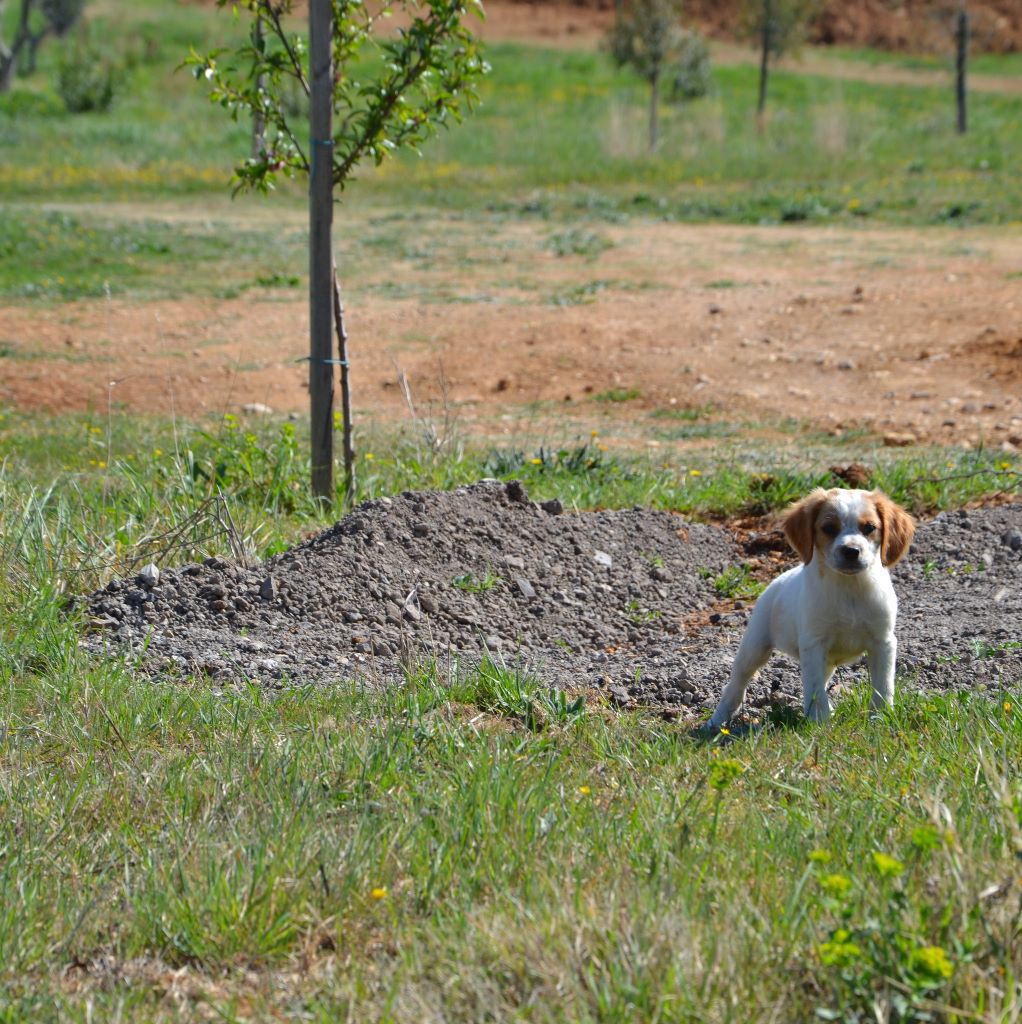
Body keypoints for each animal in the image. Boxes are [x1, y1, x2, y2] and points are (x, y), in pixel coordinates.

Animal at [712, 489, 921, 724]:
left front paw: (880, 718)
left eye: (869, 528)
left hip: (825, 661)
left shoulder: (882, 642)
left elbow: (882, 687)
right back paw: (716, 721)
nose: (851, 551)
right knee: (736, 684)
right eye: (829, 528)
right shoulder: (813, 643)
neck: (849, 588)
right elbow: (814, 688)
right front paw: (820, 723)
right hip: (755, 647)